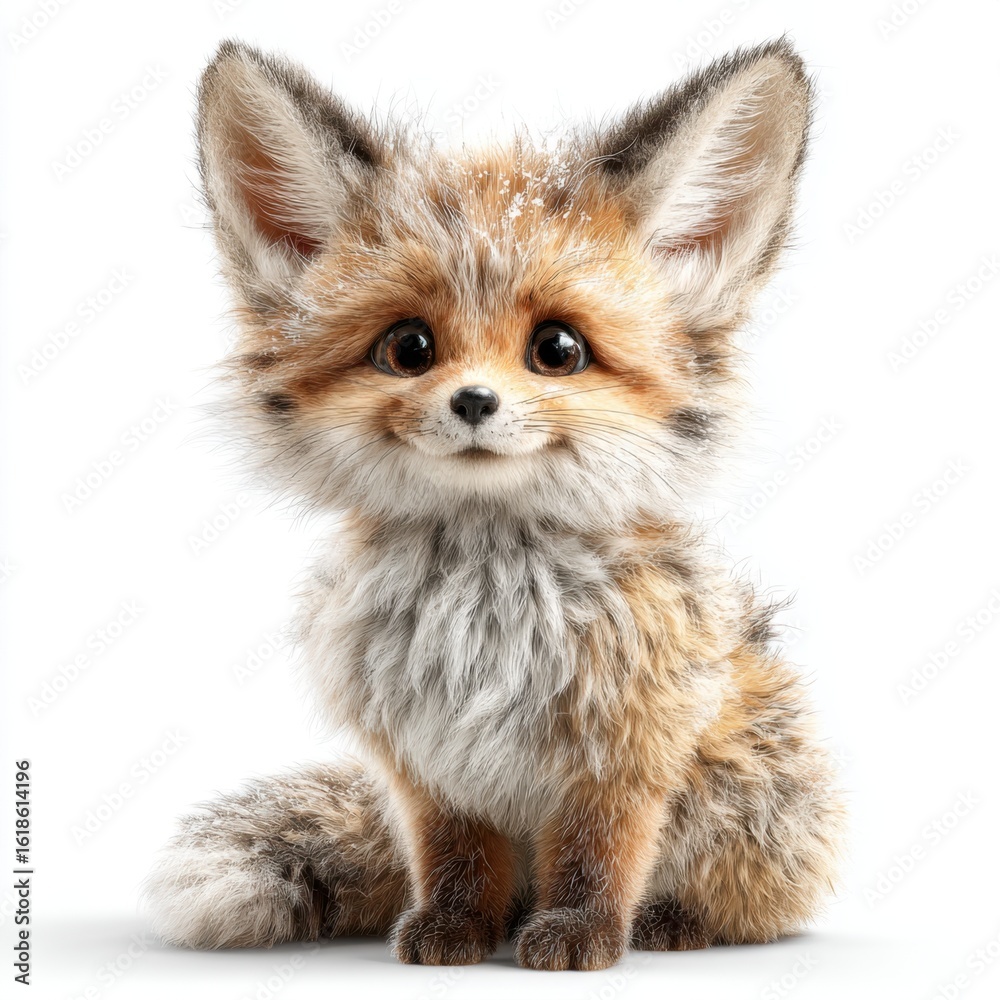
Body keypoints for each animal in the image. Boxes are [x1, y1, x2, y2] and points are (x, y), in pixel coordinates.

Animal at [143, 37, 844, 972]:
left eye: (558, 349)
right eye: (409, 347)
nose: (474, 401)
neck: (485, 609)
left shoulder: (626, 750)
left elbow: (597, 856)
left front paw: (583, 934)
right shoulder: (428, 764)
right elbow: (455, 860)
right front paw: (455, 928)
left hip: (752, 801)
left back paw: (672, 921)